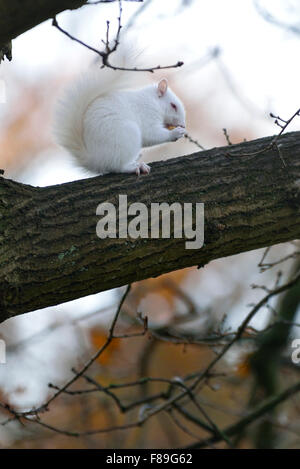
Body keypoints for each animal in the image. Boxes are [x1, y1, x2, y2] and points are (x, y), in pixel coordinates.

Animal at [52, 55, 186, 176]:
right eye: (173, 106)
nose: (183, 125)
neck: (153, 102)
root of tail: (96, 161)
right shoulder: (147, 114)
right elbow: (152, 134)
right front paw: (175, 133)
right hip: (126, 136)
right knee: (117, 166)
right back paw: (136, 167)